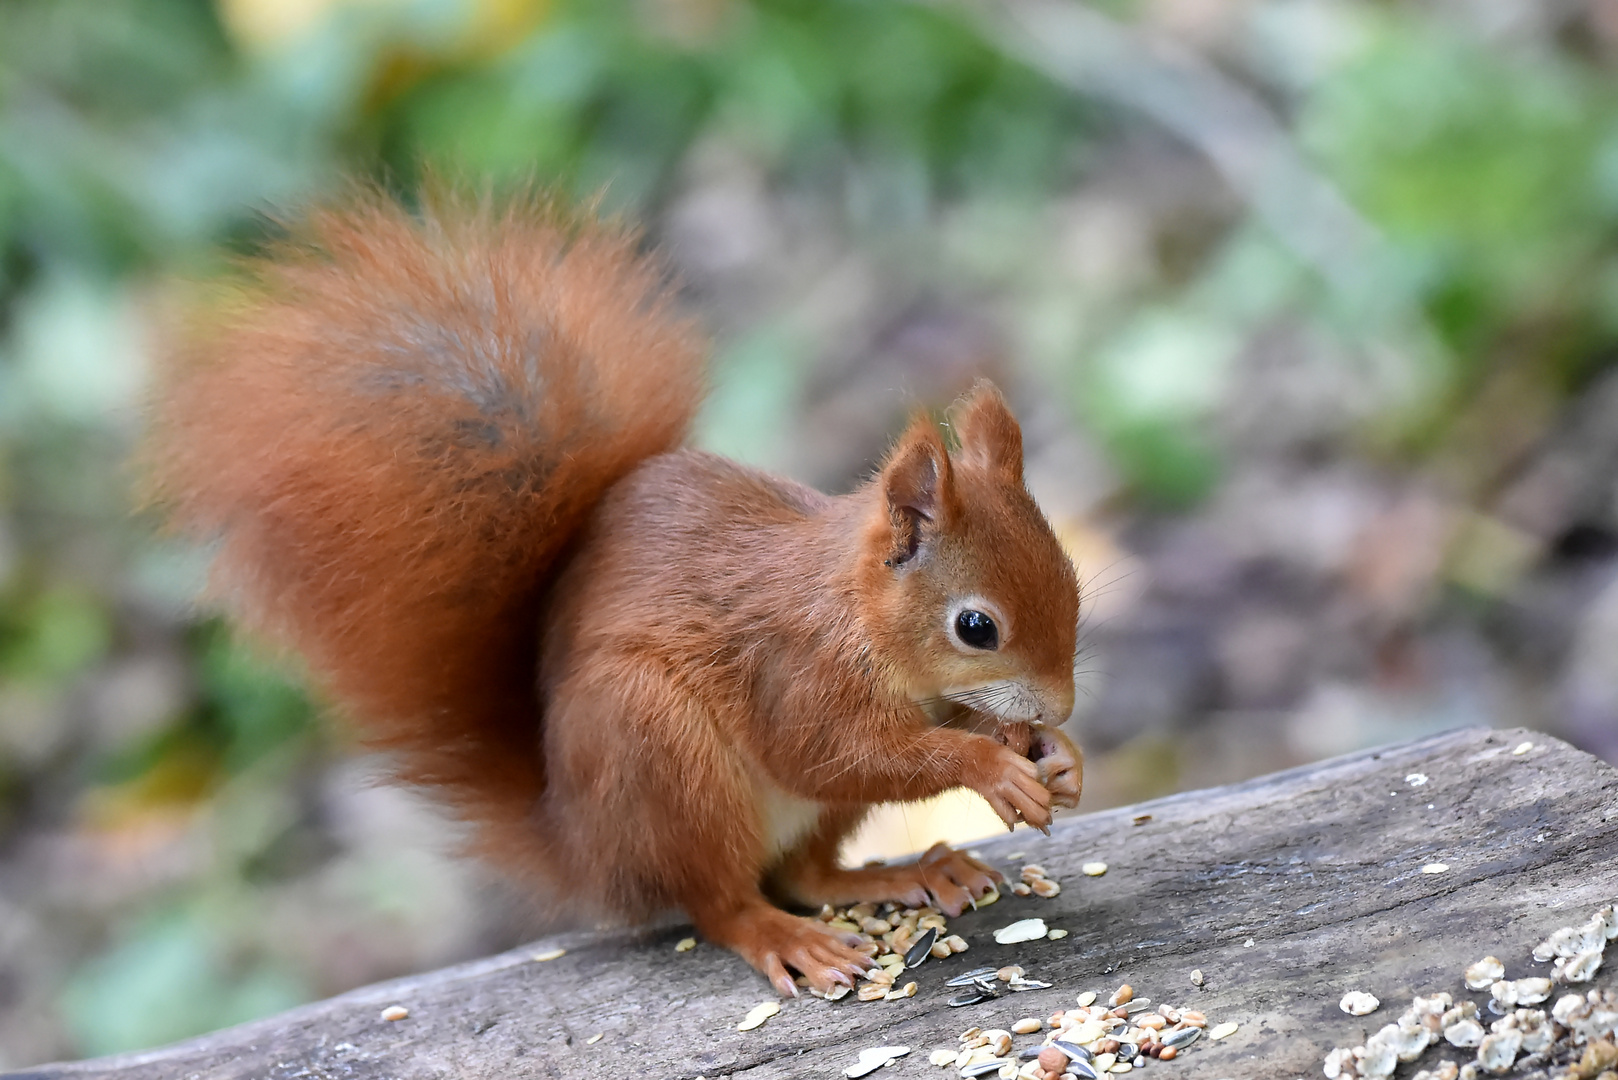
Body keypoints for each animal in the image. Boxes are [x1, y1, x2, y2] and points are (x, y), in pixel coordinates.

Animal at [148, 190, 1087, 1003]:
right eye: (975, 626)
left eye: (1074, 584)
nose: (1061, 705)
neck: (857, 616)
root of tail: (583, 849)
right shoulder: (795, 673)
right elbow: (833, 753)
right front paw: (991, 763)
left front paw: (1048, 752)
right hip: (655, 750)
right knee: (723, 900)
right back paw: (790, 938)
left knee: (807, 871)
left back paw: (916, 869)